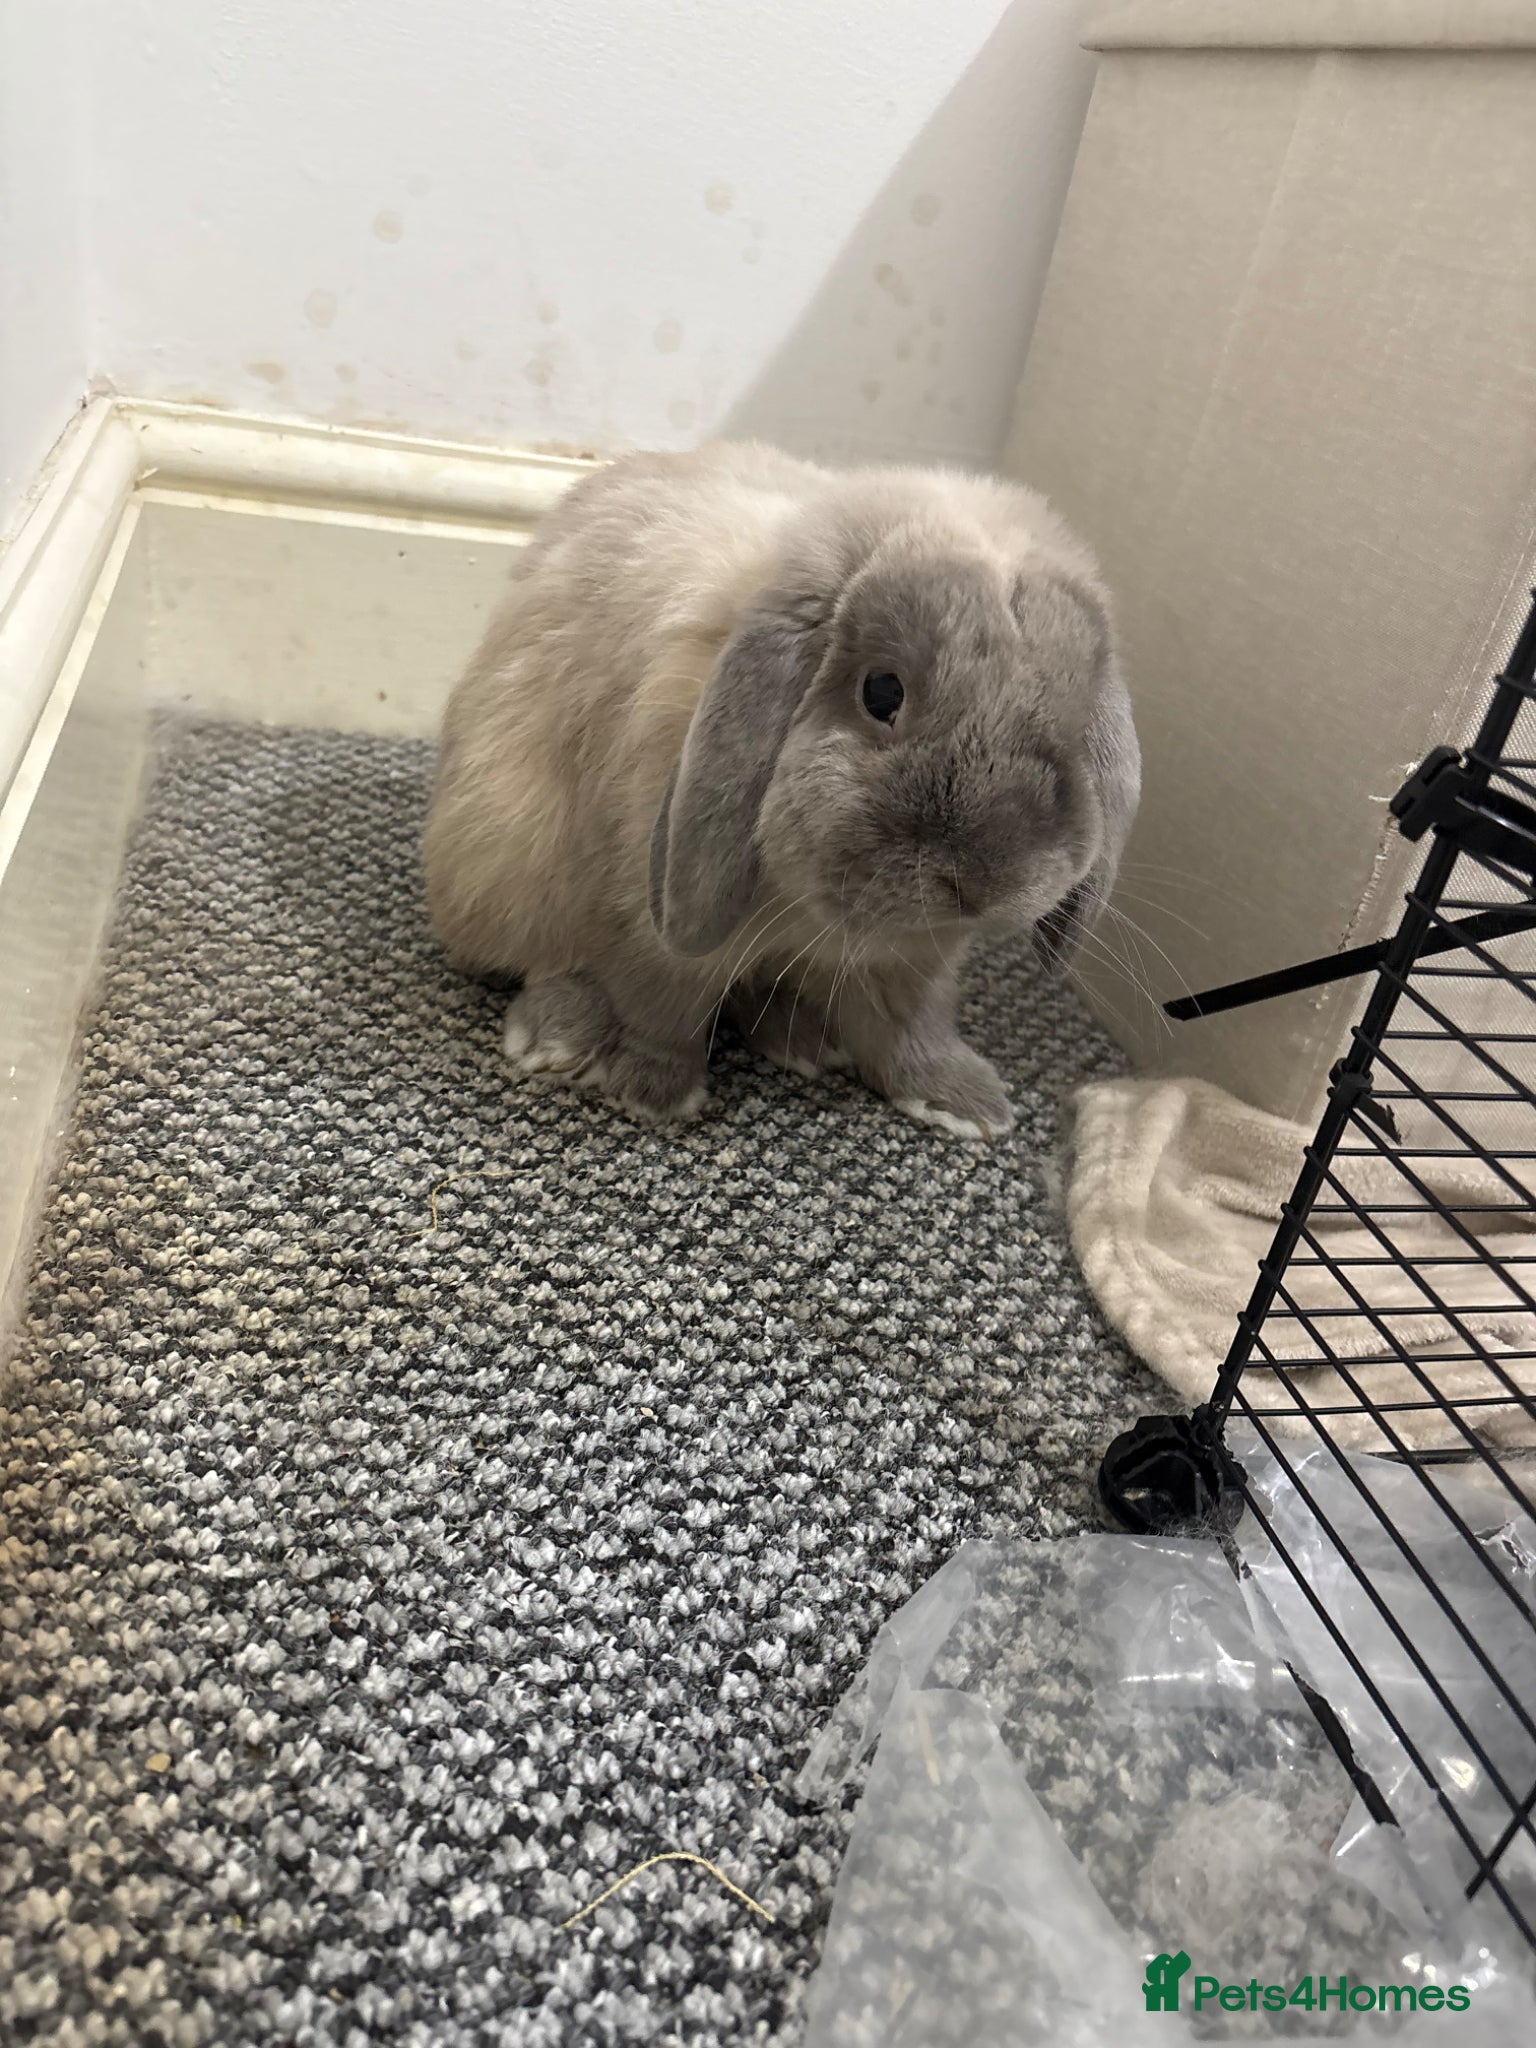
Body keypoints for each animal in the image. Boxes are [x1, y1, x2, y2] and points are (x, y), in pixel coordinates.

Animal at [423, 441, 1139, 1139]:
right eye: (882, 692)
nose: (985, 884)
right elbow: (664, 1002)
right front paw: (651, 1091)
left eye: (1077, 724)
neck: (818, 913)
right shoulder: (655, 918)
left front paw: (968, 1105)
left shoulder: (914, 960)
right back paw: (556, 1037)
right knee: (553, 959)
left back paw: (804, 1041)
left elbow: (913, 1026)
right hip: (508, 862)